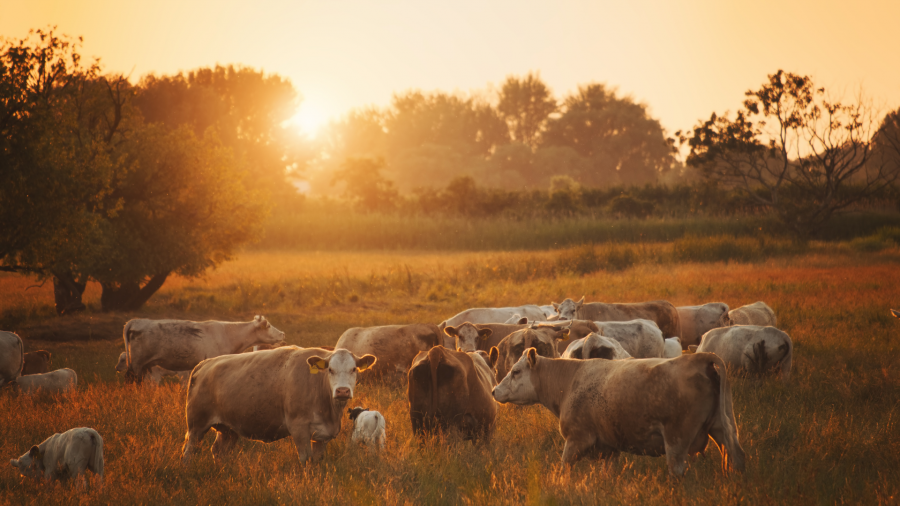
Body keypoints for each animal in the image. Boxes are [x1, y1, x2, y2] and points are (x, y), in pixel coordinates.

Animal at [123, 316, 284, 384]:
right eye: (268, 326)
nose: (282, 333)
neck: (228, 334)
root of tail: (136, 321)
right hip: (136, 364)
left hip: (144, 366)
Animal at [183, 348, 376, 462]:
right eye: (330, 369)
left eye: (354, 369)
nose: (342, 391)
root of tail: (204, 364)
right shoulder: (299, 429)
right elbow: (306, 460)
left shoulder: (321, 436)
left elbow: (316, 462)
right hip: (196, 425)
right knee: (189, 449)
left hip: (228, 430)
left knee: (218, 451)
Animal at [492, 348, 744, 474]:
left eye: (515, 371)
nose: (494, 390)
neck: (569, 381)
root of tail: (699, 358)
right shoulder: (610, 447)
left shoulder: (576, 438)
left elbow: (564, 469)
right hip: (722, 426)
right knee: (736, 457)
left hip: (676, 439)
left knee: (677, 469)